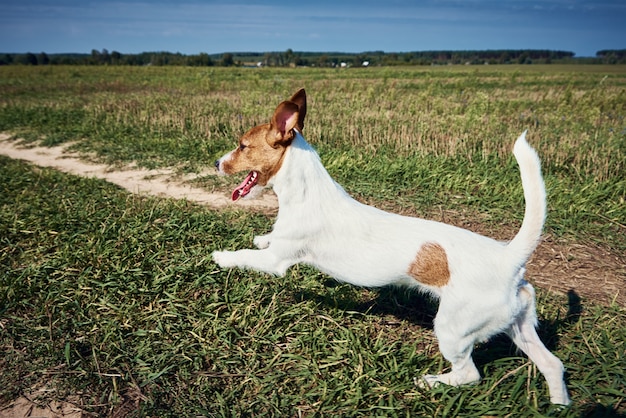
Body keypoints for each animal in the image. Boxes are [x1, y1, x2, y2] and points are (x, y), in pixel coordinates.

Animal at [211, 89, 572, 404]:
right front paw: (259, 237)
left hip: (453, 328)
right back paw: (558, 405)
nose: (216, 163)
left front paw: (220, 256)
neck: (307, 192)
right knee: (553, 364)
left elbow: (246, 257)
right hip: (518, 326)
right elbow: (265, 239)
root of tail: (509, 258)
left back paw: (429, 382)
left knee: (469, 374)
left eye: (242, 146)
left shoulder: (276, 260)